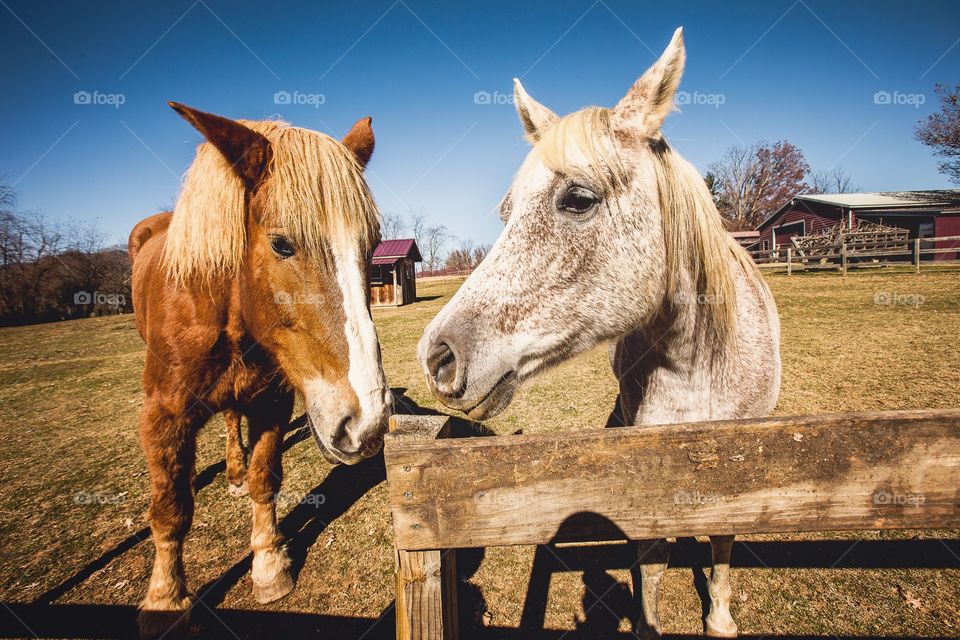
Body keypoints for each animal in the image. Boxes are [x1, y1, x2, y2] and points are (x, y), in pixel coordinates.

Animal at [129, 103, 392, 638]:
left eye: (372, 244)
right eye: (281, 244)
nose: (368, 423)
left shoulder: (272, 402)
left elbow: (264, 478)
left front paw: (269, 565)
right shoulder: (164, 417)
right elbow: (170, 509)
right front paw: (164, 599)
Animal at [417, 28, 780, 638]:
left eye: (579, 199)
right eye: (506, 213)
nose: (437, 356)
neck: (701, 368)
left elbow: (723, 543)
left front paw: (721, 617)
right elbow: (650, 563)